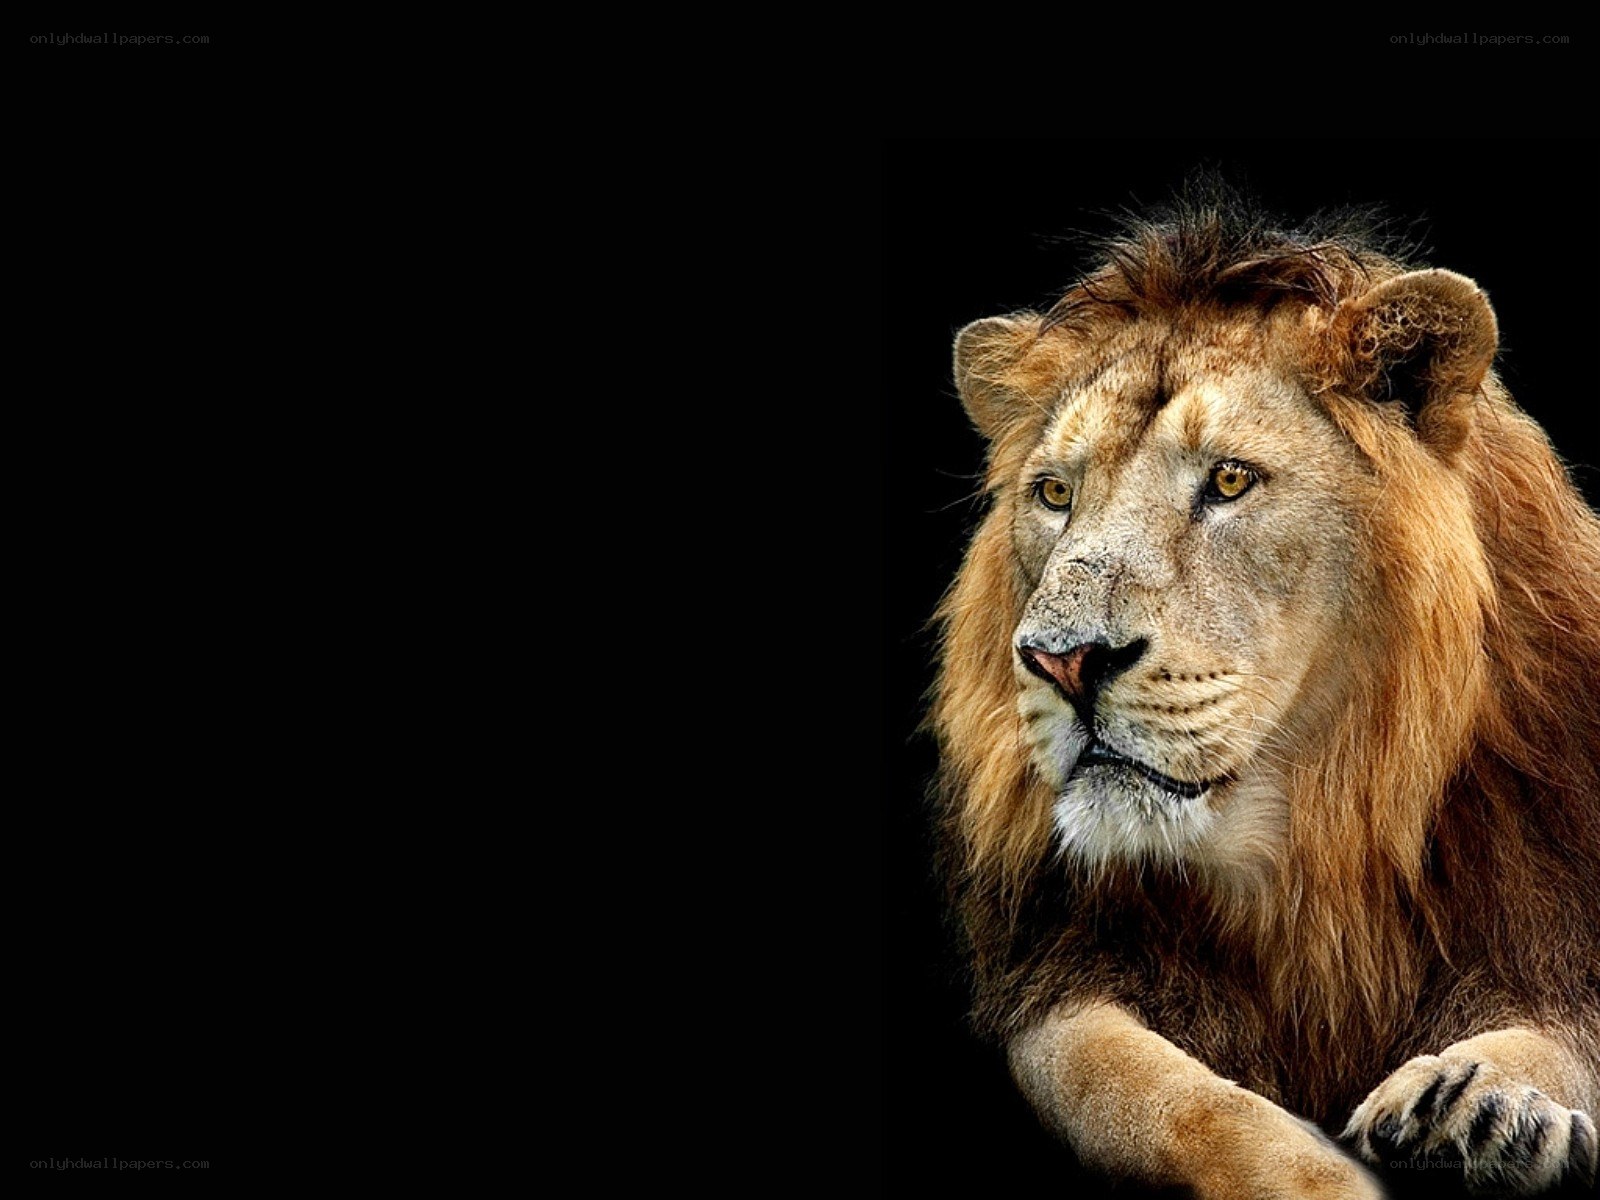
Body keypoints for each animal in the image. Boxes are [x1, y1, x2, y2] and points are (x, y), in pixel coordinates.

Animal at [931, 194, 1600, 1199]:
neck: (1308, 841)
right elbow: (1161, 1097)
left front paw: (1478, 1106)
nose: (1063, 663)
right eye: (1053, 494)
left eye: (1230, 479)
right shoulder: (1060, 971)